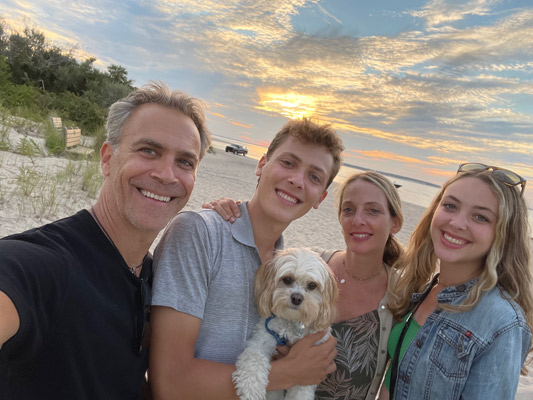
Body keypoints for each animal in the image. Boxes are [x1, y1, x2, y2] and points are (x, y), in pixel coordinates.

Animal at [232, 248, 336, 398]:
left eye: (312, 285)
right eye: (287, 279)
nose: (297, 298)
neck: (292, 322)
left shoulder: (311, 367)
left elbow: (301, 393)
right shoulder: (263, 339)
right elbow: (254, 358)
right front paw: (251, 388)